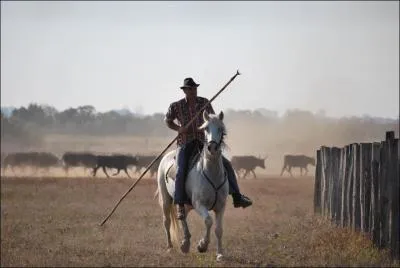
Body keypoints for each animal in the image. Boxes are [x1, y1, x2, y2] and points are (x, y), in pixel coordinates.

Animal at [156, 110, 231, 260]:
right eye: (206, 128)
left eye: (221, 129)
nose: (212, 148)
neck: (212, 174)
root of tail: (166, 157)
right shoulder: (199, 204)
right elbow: (208, 221)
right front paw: (202, 245)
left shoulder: (221, 206)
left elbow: (219, 229)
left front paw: (220, 254)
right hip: (166, 199)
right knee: (167, 221)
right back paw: (170, 247)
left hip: (187, 204)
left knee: (182, 216)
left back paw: (185, 244)